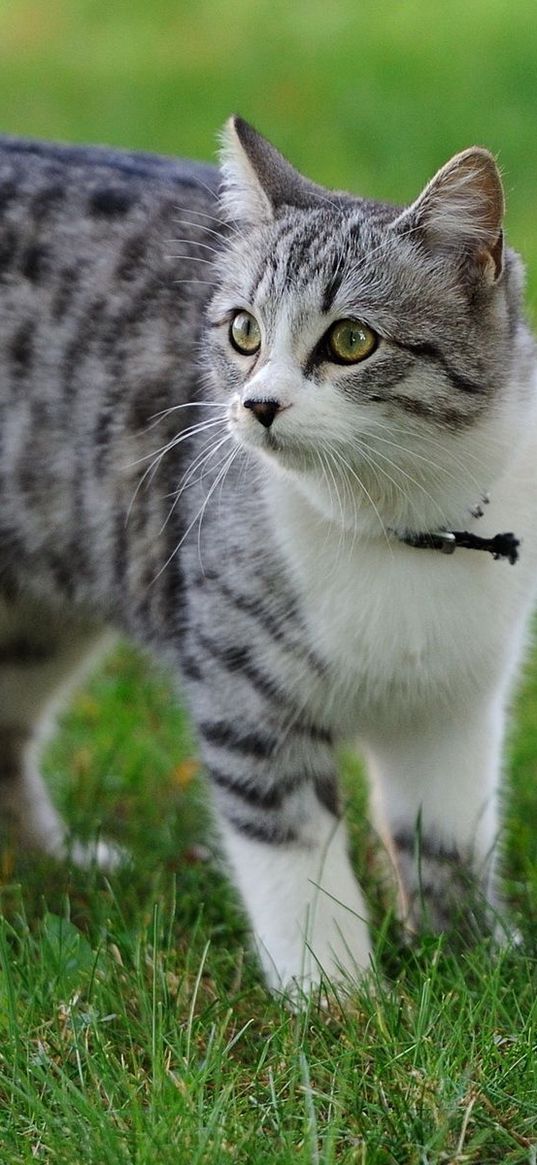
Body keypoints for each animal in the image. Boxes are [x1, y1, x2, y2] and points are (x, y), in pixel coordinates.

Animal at [1, 115, 535, 992]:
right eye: (243, 330)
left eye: (351, 340)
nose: (257, 404)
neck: (396, 523)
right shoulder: (244, 687)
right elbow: (291, 846)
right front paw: (335, 991)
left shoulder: (455, 696)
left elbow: (445, 834)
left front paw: (472, 957)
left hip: (34, 620)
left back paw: (56, 862)